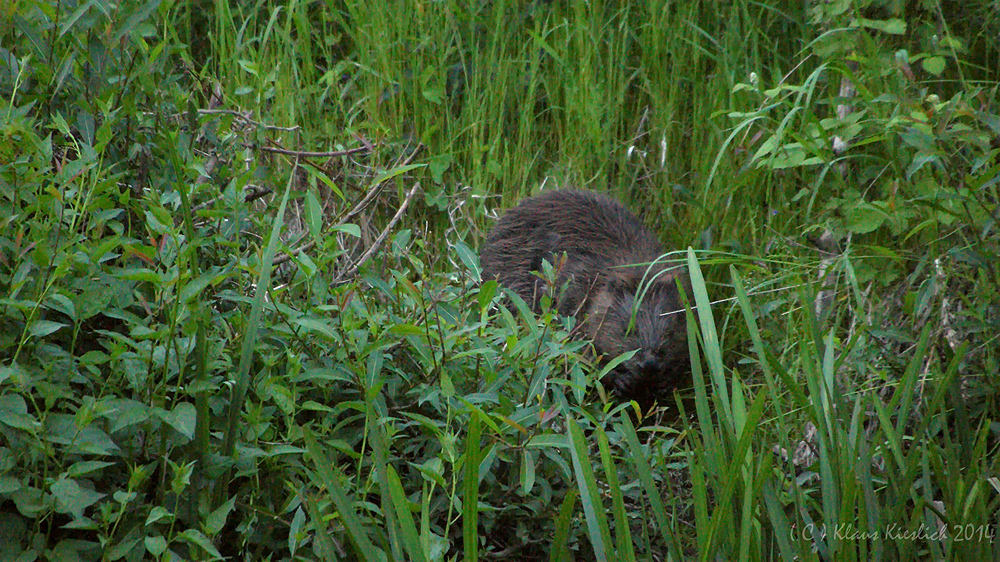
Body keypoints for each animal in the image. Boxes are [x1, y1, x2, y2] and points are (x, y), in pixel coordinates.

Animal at [478, 189, 688, 402]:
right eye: (628, 330)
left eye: (670, 332)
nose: (649, 364)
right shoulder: (573, 290)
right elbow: (576, 346)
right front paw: (621, 380)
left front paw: (665, 384)